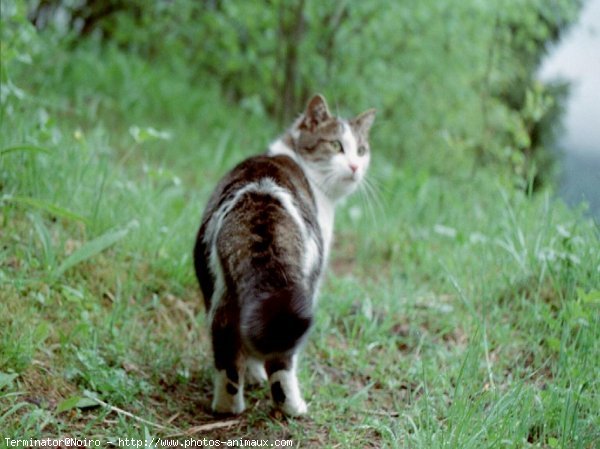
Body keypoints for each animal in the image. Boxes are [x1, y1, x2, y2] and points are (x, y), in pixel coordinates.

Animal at [195, 94, 376, 416]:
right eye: (336, 145)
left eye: (361, 149)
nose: (355, 166)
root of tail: (260, 200)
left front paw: (253, 374)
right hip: (299, 288)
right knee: (282, 361)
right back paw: (295, 407)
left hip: (219, 289)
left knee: (226, 344)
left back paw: (228, 406)